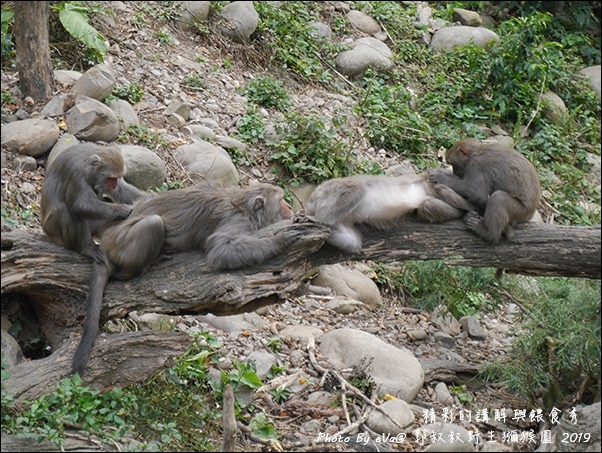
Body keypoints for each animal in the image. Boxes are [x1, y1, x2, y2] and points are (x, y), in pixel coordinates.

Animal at [73, 181, 298, 374]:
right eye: (281, 200)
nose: (290, 206)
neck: (244, 205)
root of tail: (105, 242)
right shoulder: (238, 222)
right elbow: (220, 250)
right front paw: (281, 240)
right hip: (122, 244)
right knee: (153, 224)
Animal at [300, 172, 474, 251]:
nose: (311, 209)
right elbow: (350, 241)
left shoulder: (335, 187)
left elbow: (358, 190)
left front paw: (320, 219)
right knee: (427, 206)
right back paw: (459, 213)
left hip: (427, 182)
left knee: (440, 189)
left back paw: (471, 210)